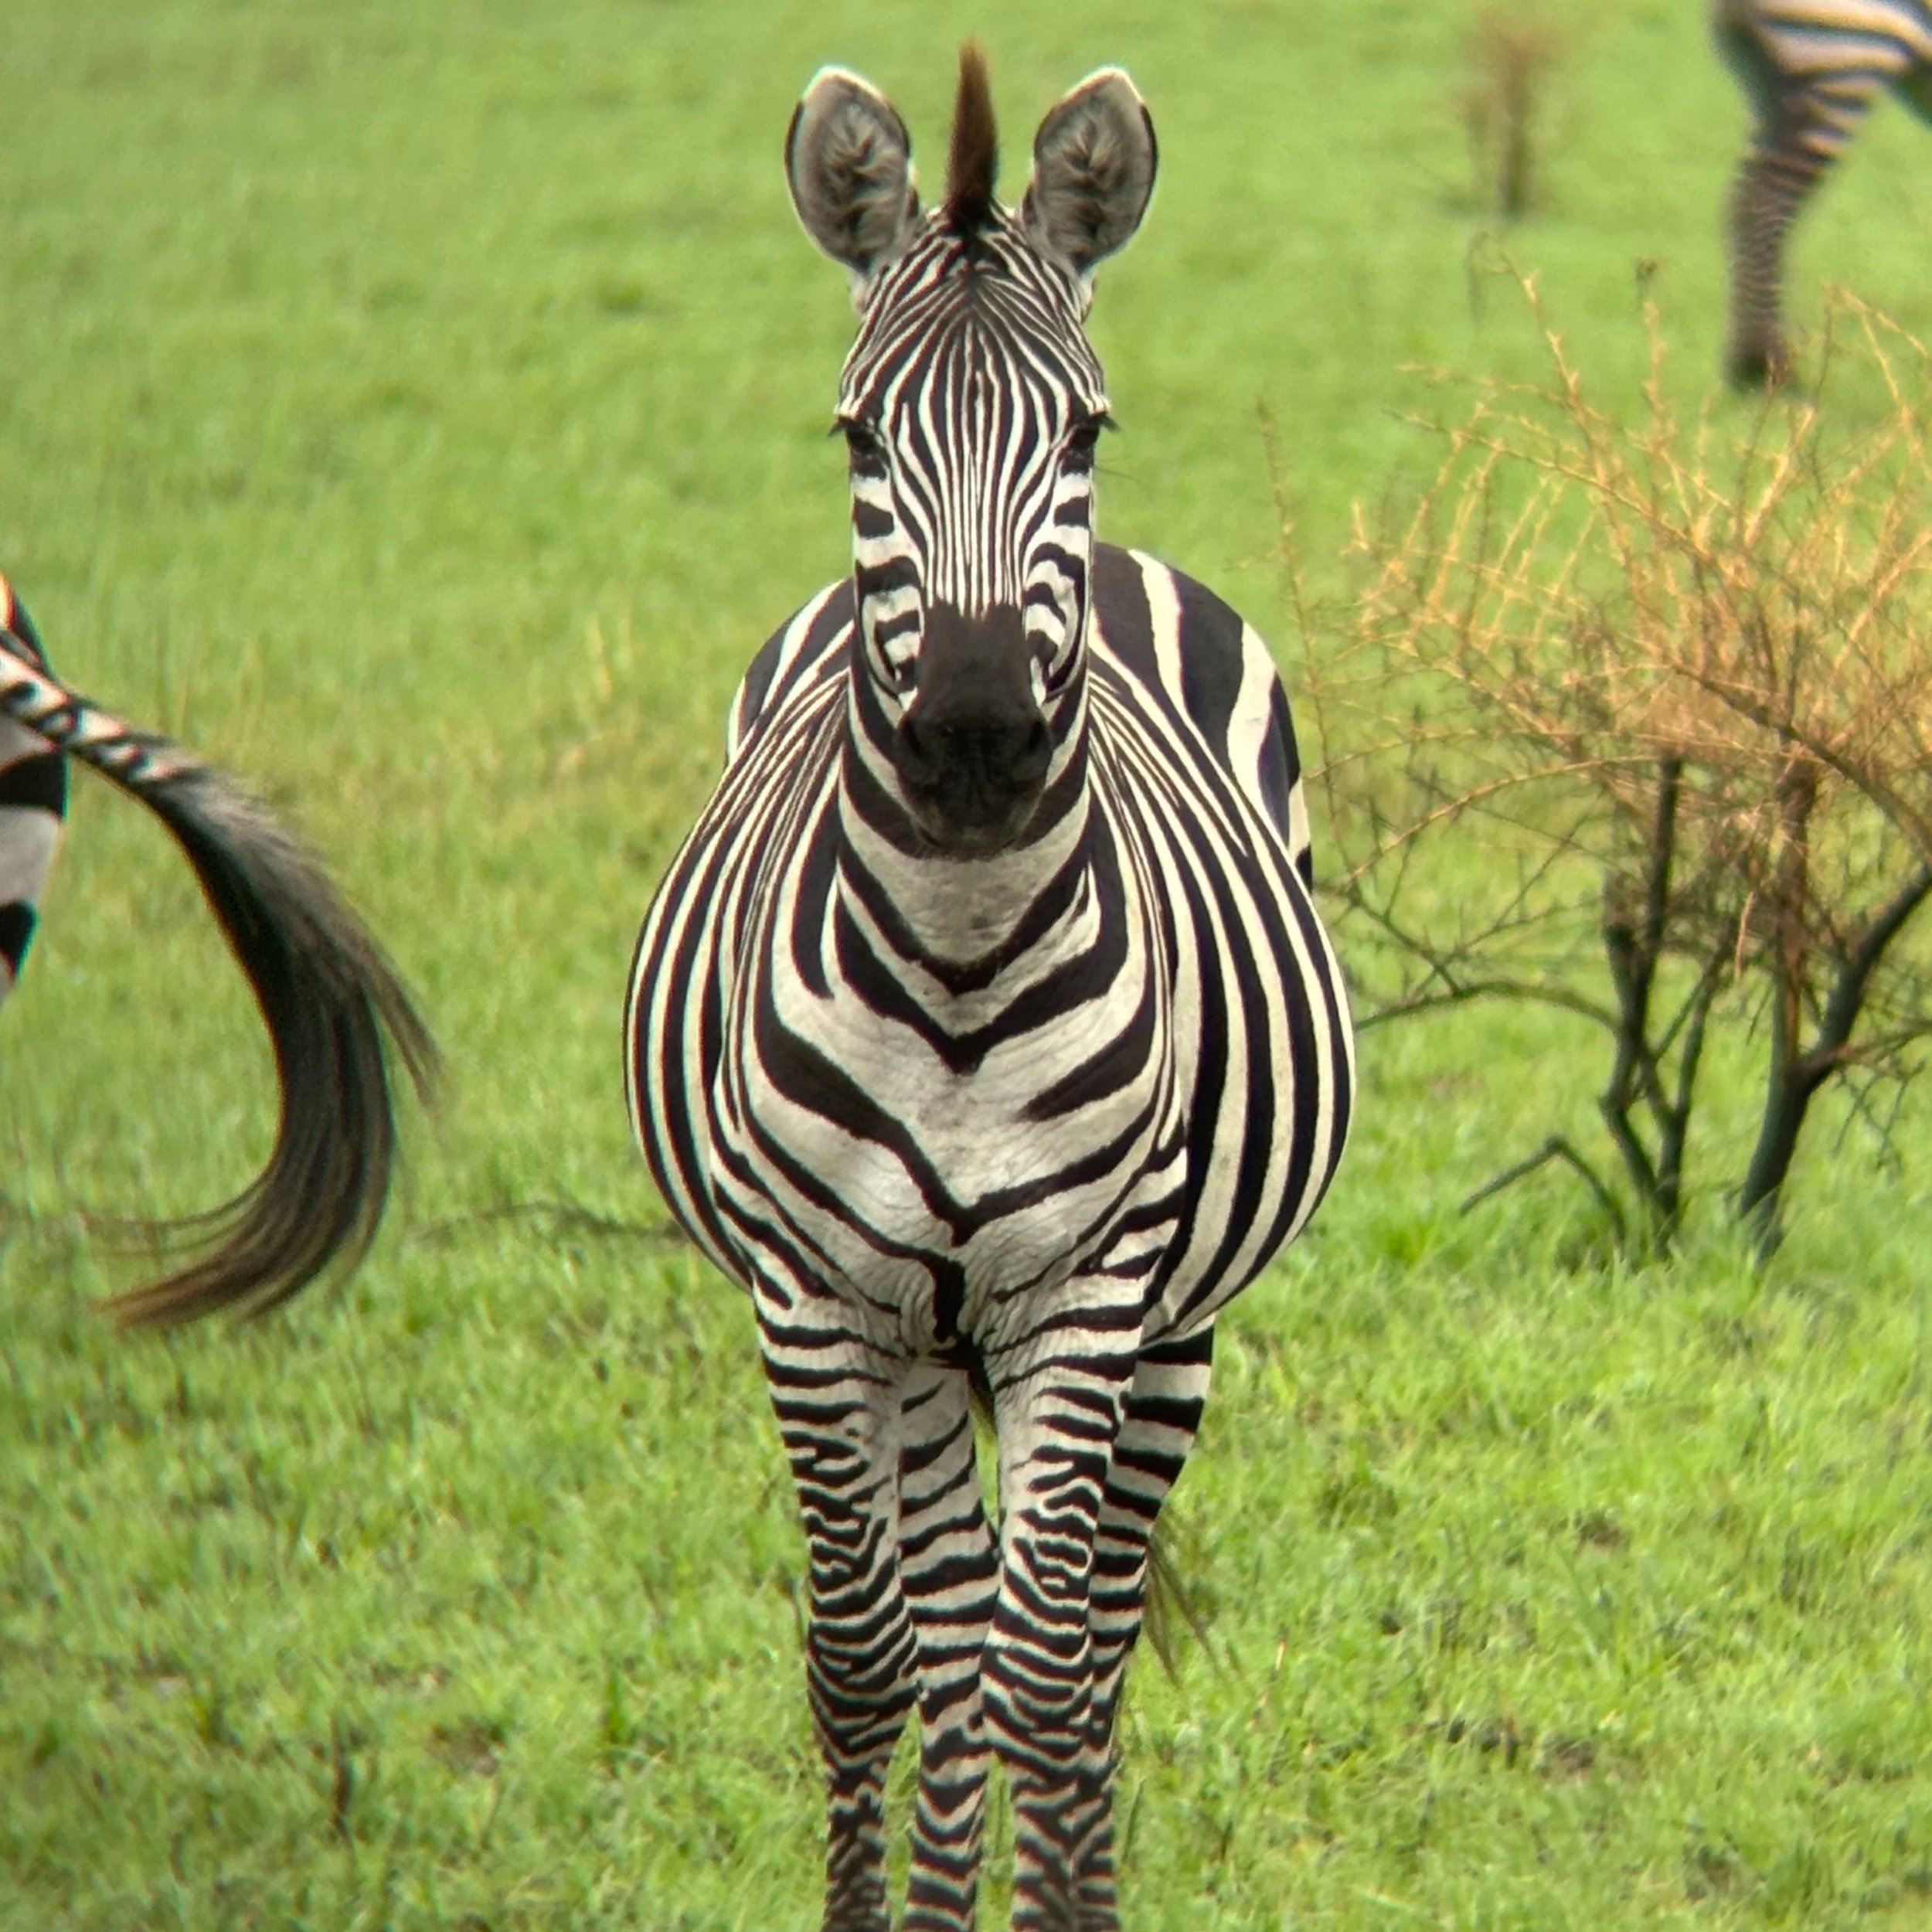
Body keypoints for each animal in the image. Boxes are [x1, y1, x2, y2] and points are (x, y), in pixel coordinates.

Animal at [626, 47, 1353, 1931]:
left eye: (1084, 431)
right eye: (858, 435)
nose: (968, 742)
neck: (958, 953)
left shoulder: (1085, 1287)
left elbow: (1043, 1673)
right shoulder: (811, 1296)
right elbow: (866, 1664)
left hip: (1168, 1315)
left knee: (1079, 1651)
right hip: (912, 1330)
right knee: (945, 1647)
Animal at [1714, 0, 1932, 386]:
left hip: (1768, 80)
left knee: (1742, 199)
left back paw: (1747, 366)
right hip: (1843, 52)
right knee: (1764, 202)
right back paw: (1765, 363)